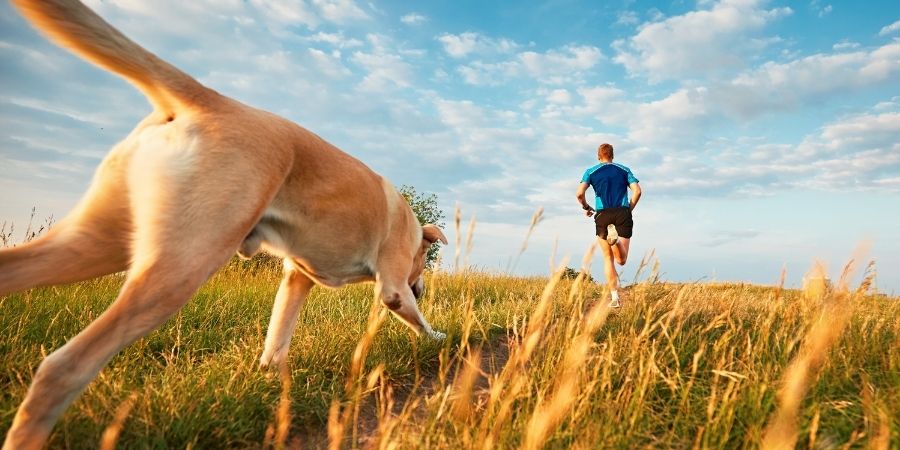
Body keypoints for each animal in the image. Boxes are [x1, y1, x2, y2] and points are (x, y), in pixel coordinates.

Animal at [0, 0, 450, 446]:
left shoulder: (296, 279)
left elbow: (277, 336)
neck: (411, 227)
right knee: (64, 367)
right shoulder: (392, 289)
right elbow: (418, 321)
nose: (423, 288)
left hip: (95, 243)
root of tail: (210, 99)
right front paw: (441, 339)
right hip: (180, 267)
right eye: (419, 266)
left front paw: (273, 379)